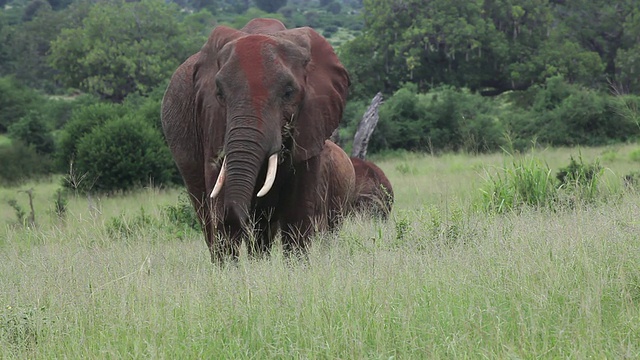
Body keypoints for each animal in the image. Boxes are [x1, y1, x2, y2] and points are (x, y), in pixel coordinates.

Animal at [160, 19, 350, 262]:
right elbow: (219, 199)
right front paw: (228, 270)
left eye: (288, 92)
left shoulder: (313, 119)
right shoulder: (210, 117)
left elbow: (297, 209)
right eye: (220, 93)